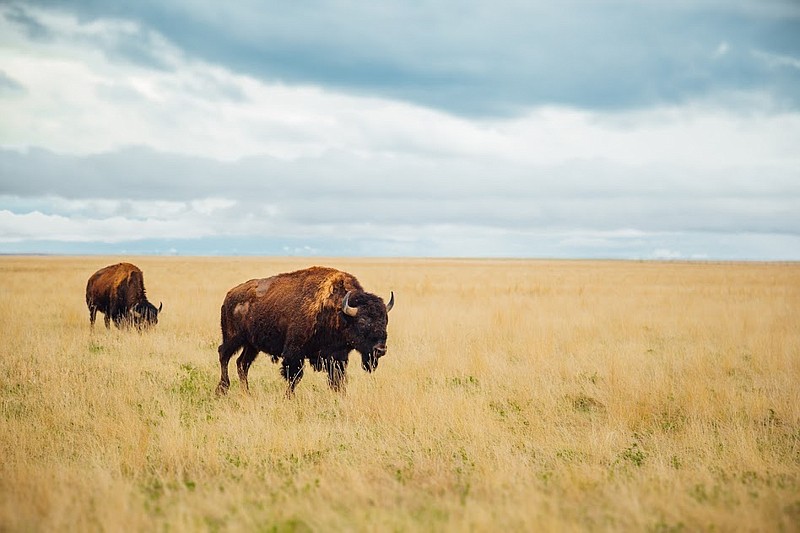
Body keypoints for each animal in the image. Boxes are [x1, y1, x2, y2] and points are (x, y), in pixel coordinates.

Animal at [217, 266, 396, 394]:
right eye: (363, 321)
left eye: (385, 320)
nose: (381, 349)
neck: (337, 311)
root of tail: (229, 295)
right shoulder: (294, 352)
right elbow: (294, 376)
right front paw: (289, 397)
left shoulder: (337, 357)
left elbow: (337, 380)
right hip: (233, 337)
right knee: (224, 355)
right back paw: (223, 389)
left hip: (251, 345)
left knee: (242, 364)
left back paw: (246, 393)